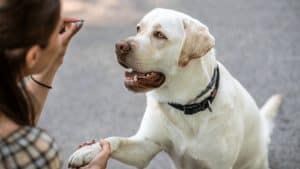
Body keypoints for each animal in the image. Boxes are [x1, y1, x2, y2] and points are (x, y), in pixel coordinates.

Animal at [67, 8, 282, 169]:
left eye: (159, 35)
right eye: (138, 28)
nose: (119, 46)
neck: (185, 106)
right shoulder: (145, 147)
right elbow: (114, 140)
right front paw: (88, 151)